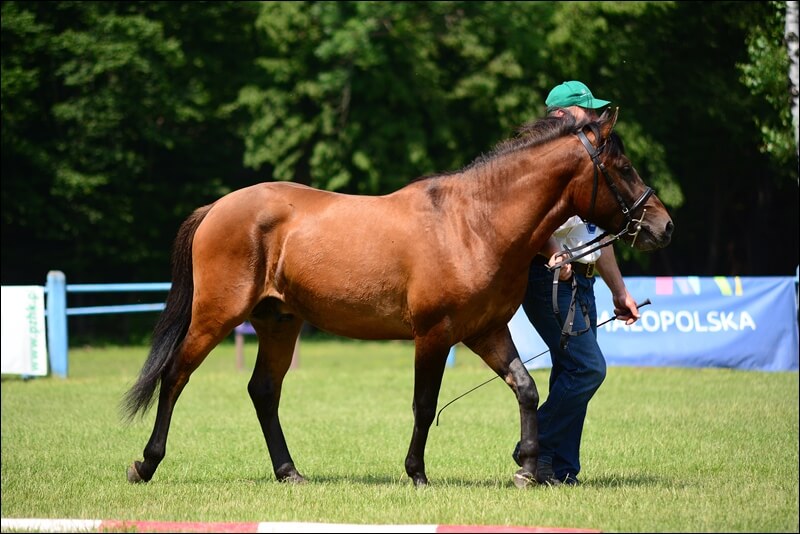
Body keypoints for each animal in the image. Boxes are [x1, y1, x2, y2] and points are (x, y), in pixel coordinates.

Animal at [123, 109, 676, 490]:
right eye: (623, 166)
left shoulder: (486, 331)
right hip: (215, 317)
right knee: (175, 377)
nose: (663, 226)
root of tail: (217, 207)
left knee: (263, 391)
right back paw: (146, 463)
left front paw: (526, 467)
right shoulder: (433, 334)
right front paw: (417, 473)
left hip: (279, 323)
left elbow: (525, 388)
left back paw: (289, 472)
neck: (473, 223)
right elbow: (424, 404)